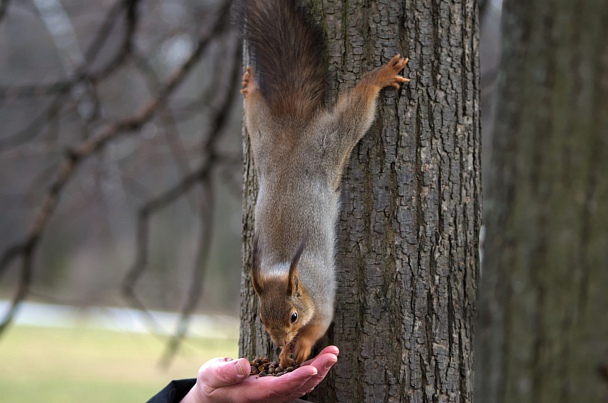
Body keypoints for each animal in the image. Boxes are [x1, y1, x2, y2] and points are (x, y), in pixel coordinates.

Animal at [235, 0, 410, 370]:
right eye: (262, 319)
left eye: (293, 316)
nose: (279, 341)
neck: (287, 270)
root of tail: (294, 131)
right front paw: (284, 354)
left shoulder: (325, 295)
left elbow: (322, 323)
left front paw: (300, 346)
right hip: (264, 139)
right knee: (256, 112)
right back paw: (252, 84)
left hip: (328, 145)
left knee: (355, 112)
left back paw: (379, 78)